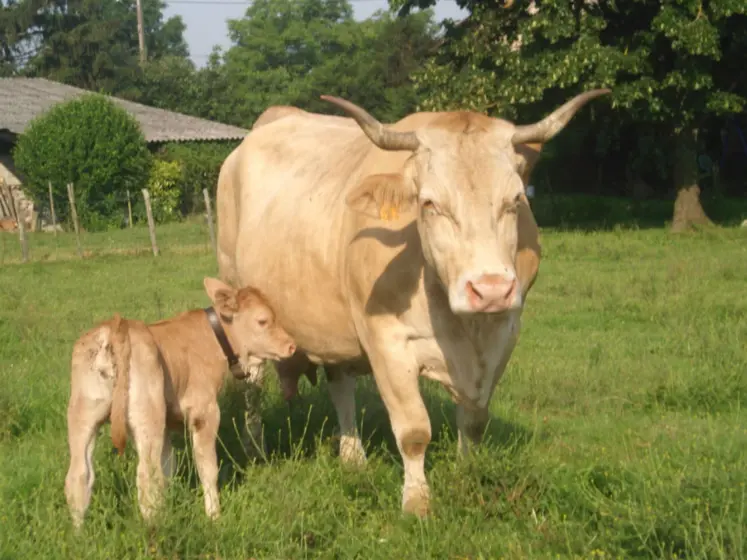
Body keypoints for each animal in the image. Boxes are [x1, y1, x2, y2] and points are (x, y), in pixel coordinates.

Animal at [64, 278, 297, 528]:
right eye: (263, 320)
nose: (291, 346)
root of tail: (115, 326)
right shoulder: (205, 412)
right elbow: (207, 467)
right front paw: (214, 516)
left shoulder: (168, 423)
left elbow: (168, 467)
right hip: (148, 416)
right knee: (146, 476)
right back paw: (155, 528)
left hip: (84, 414)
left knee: (78, 476)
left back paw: (79, 532)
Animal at [216, 89, 611, 517]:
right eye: (429, 203)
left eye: (515, 200)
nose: (490, 289)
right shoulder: (387, 341)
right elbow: (414, 430)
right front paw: (417, 503)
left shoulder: (504, 334)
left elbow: (474, 419)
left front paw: (468, 474)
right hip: (238, 298)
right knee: (252, 385)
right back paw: (255, 447)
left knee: (340, 385)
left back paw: (352, 458)